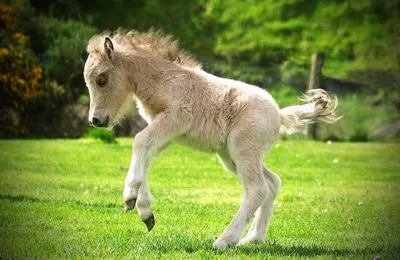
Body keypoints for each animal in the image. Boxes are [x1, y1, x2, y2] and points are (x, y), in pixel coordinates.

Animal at [83, 30, 340, 248]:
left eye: (102, 79)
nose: (95, 120)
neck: (164, 80)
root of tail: (279, 115)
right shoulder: (166, 132)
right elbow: (146, 153)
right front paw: (145, 211)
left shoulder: (175, 119)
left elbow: (139, 142)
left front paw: (130, 197)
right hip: (233, 156)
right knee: (272, 182)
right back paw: (253, 239)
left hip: (243, 150)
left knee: (257, 189)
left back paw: (225, 241)